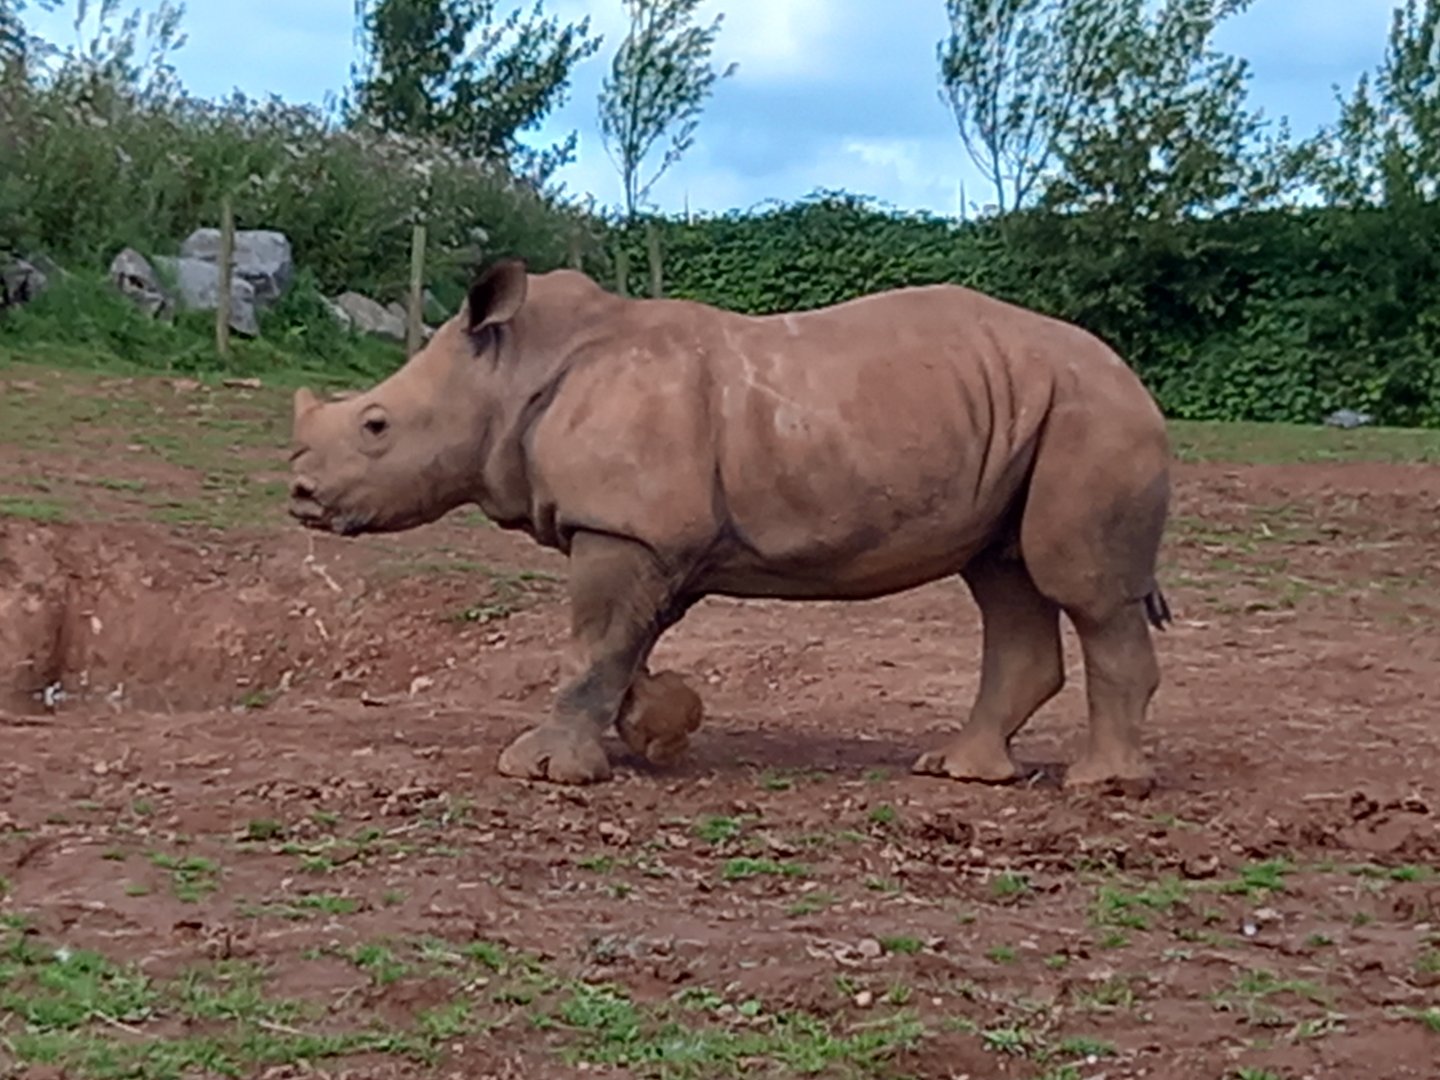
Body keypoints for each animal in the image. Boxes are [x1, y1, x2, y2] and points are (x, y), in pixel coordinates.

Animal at [288, 259, 1173, 794]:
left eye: (375, 426)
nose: (298, 493)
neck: (511, 371)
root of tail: (1131, 375)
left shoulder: (623, 528)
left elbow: (594, 642)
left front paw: (542, 771)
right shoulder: (650, 534)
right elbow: (624, 643)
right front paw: (660, 729)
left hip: (1094, 416)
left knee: (1081, 588)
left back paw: (1100, 784)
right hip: (1029, 415)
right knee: (1003, 577)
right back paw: (958, 772)